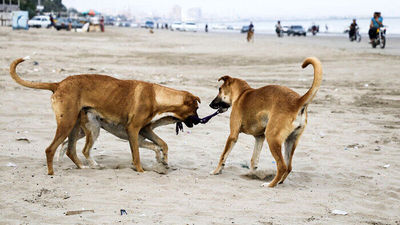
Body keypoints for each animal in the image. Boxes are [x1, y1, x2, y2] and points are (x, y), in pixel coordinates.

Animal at [10, 57, 200, 175]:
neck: (156, 95)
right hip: (71, 124)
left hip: (77, 127)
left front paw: (163, 160)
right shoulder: (133, 130)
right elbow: (138, 154)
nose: (199, 121)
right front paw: (140, 170)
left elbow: (162, 144)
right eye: (196, 109)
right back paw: (52, 172)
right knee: (53, 149)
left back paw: (82, 166)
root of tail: (58, 84)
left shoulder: (145, 130)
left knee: (70, 149)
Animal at [209, 57, 322, 187]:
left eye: (219, 89)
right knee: (288, 167)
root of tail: (297, 101)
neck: (242, 93)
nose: (210, 104)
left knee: (282, 166)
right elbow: (254, 160)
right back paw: (279, 182)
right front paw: (250, 174)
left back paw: (270, 184)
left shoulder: (233, 135)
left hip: (272, 138)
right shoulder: (259, 137)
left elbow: (223, 156)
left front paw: (216, 171)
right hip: (290, 141)